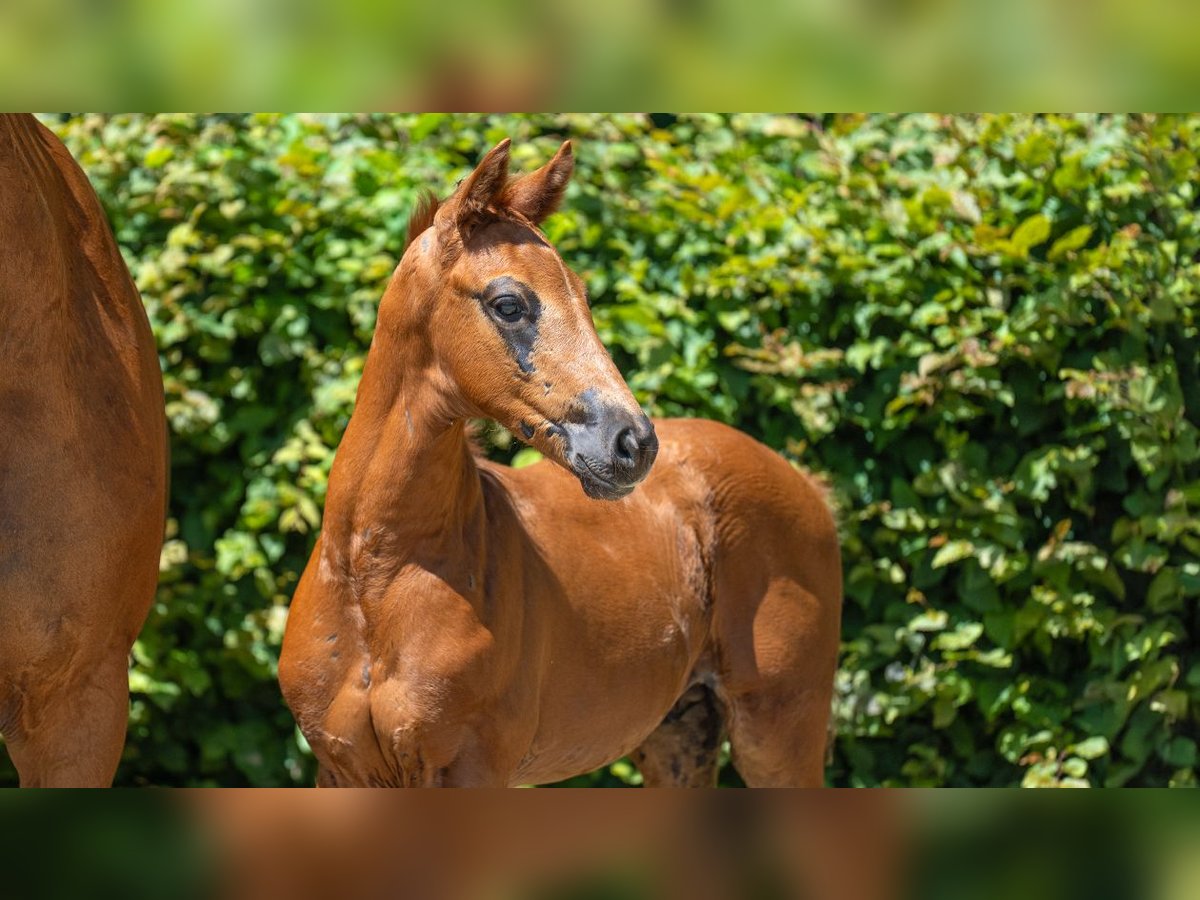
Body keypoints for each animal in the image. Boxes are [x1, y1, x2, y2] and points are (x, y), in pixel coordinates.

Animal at [280, 137, 844, 787]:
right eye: (508, 304)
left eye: (584, 296)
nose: (634, 444)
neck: (374, 579)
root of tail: (807, 487)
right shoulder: (339, 769)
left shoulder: (473, 768)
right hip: (681, 732)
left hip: (778, 732)